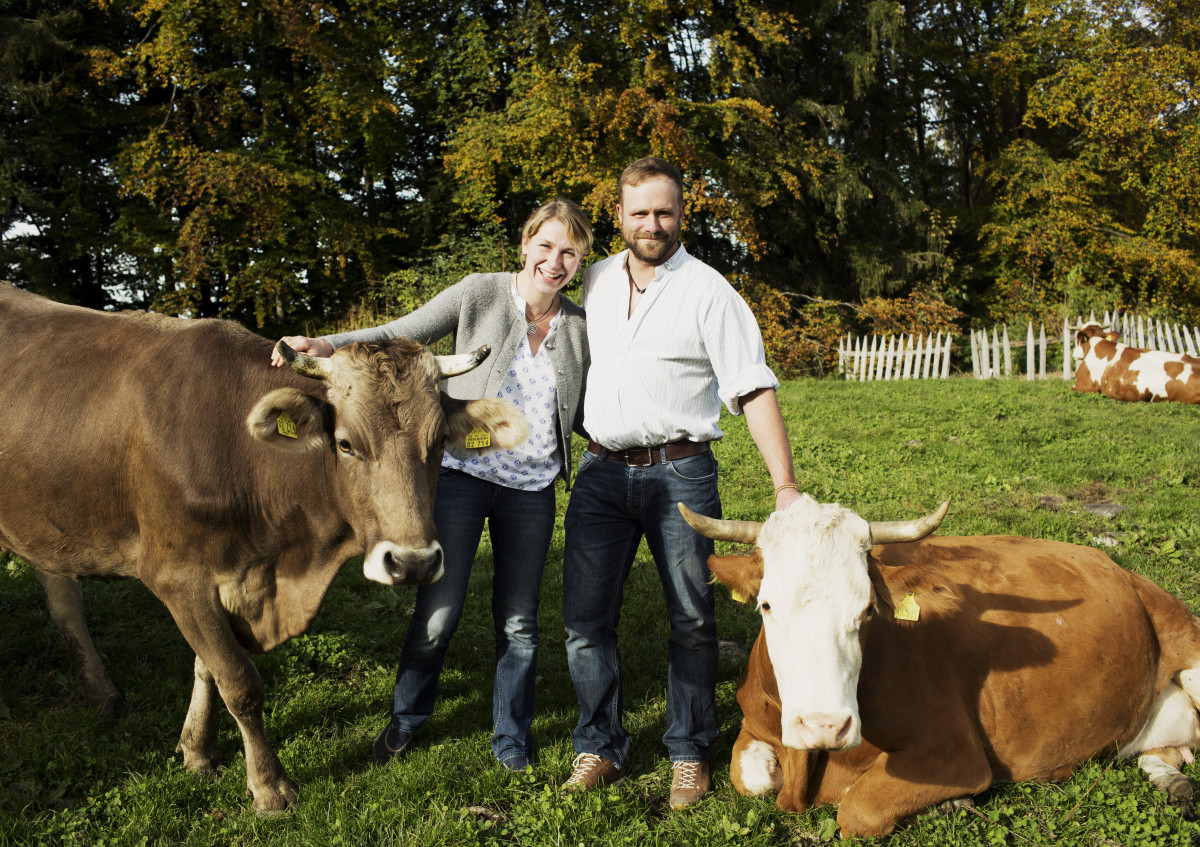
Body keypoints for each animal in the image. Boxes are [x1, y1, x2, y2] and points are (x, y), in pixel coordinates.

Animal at [0, 281, 525, 806]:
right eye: (345, 443)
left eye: (437, 445)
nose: (413, 563)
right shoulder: (178, 578)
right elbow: (238, 681)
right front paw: (269, 785)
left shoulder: (225, 579)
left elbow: (208, 668)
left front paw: (197, 750)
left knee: (62, 595)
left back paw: (99, 693)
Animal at [681, 491, 1200, 835]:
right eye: (766, 605)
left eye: (867, 610)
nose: (824, 726)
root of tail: (1119, 568)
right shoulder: (756, 724)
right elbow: (750, 779)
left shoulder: (953, 750)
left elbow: (857, 808)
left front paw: (947, 805)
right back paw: (1175, 782)